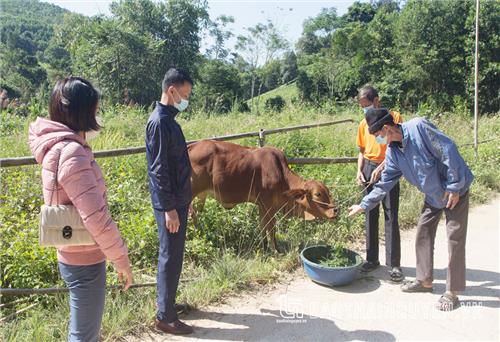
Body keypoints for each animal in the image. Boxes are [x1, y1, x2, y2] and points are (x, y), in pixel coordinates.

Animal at [188, 139, 340, 251]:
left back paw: (199, 235)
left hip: (201, 195)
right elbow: (270, 227)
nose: (335, 210)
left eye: (328, 191)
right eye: (318, 194)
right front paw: (274, 250)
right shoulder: (267, 205)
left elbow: (263, 227)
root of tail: (192, 146)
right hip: (191, 193)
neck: (282, 176)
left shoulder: (263, 206)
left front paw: (265, 247)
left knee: (196, 214)